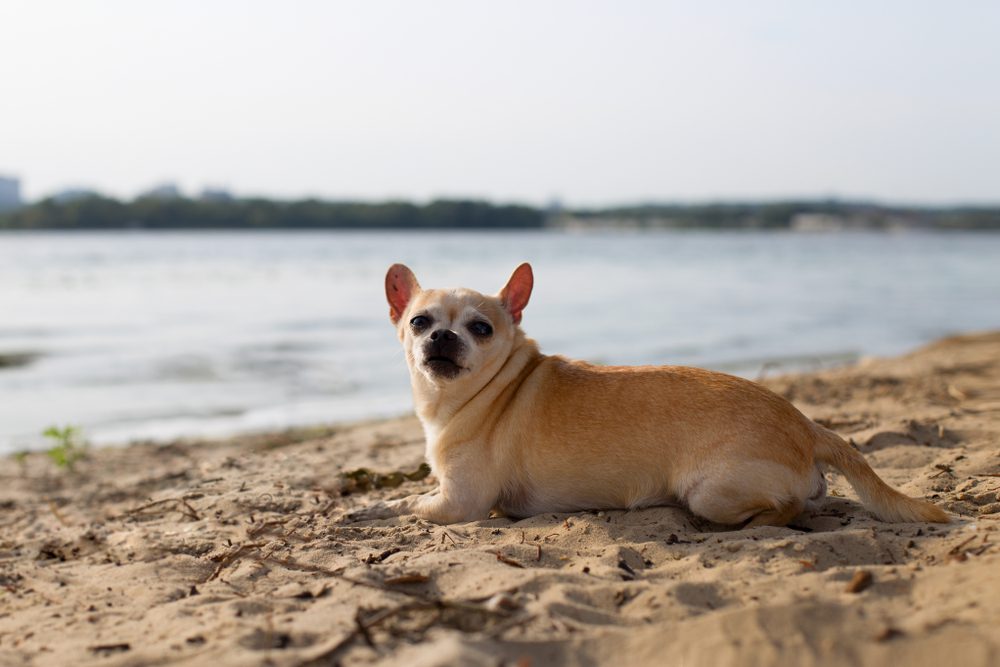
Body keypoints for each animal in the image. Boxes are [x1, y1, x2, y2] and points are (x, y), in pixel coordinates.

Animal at [354, 264, 952, 528]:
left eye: (480, 329)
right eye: (419, 321)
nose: (441, 337)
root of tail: (806, 424)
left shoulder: (459, 503)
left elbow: (408, 504)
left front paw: (371, 508)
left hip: (709, 492)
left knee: (787, 508)